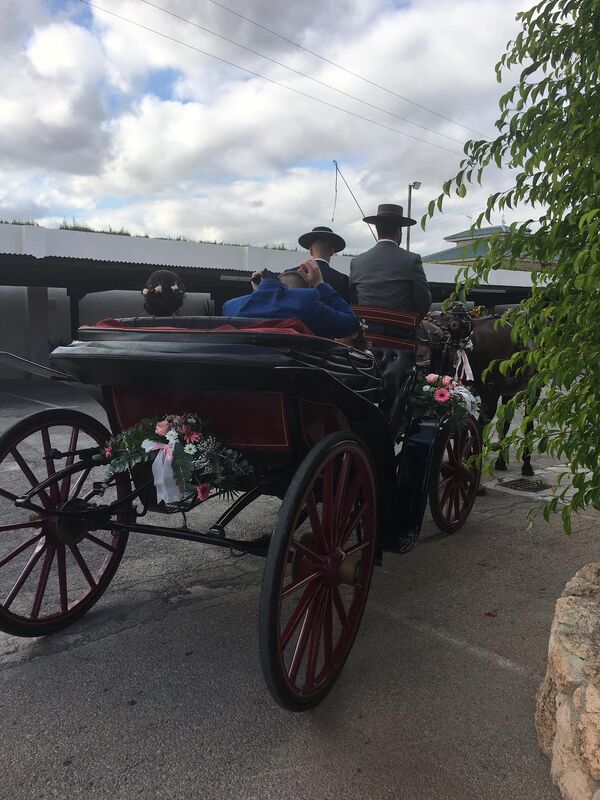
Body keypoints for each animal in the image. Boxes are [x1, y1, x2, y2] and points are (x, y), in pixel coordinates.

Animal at [424, 304, 536, 472]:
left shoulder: (510, 393)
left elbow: (506, 423)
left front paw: (501, 461)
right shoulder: (531, 391)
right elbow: (528, 425)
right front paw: (526, 464)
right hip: (490, 392)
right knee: (481, 424)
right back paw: (470, 459)